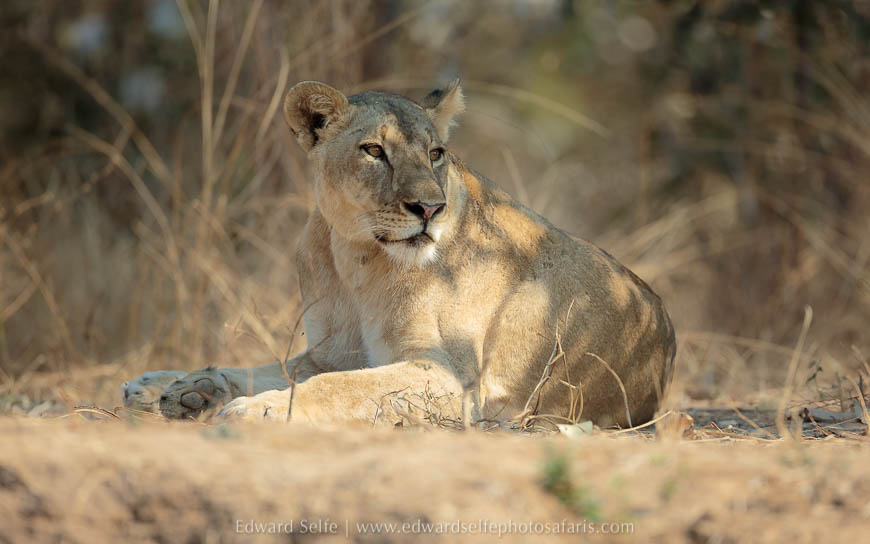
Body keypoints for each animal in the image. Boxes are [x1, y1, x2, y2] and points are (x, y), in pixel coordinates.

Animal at [124, 79, 676, 428]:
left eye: (435, 154)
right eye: (374, 151)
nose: (429, 207)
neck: (356, 258)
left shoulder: (448, 377)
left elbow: (338, 388)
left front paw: (257, 409)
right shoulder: (330, 352)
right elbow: (260, 366)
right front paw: (187, 387)